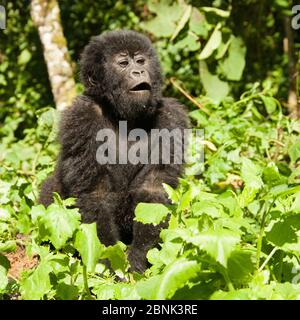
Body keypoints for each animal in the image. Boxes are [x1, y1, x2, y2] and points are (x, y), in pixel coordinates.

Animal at [40, 30, 190, 272]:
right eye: (123, 64)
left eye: (140, 61)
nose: (138, 71)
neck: (121, 114)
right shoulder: (82, 116)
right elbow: (94, 193)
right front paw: (110, 262)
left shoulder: (171, 117)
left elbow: (153, 191)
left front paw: (138, 256)